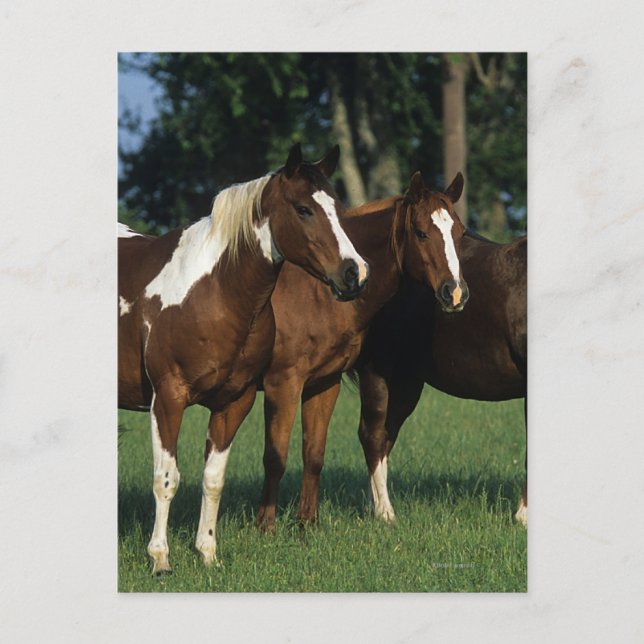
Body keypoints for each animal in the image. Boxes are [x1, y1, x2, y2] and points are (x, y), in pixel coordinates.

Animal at [118, 144, 369, 573]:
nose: (355, 273)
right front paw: (160, 559)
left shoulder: (234, 402)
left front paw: (207, 553)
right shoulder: (167, 399)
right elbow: (166, 479)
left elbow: (213, 479)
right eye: (304, 209)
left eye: (338, 206)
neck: (213, 291)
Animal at [253, 171, 469, 530]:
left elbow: (313, 453)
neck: (315, 294)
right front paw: (265, 527)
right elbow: (275, 457)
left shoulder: (323, 383)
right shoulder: (282, 384)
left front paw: (306, 523)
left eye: (460, 233)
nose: (455, 293)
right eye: (421, 233)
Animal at [355, 230, 527, 525]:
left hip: (405, 384)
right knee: (373, 435)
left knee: (386, 437)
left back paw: (373, 507)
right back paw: (385, 513)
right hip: (376, 373)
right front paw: (523, 517)